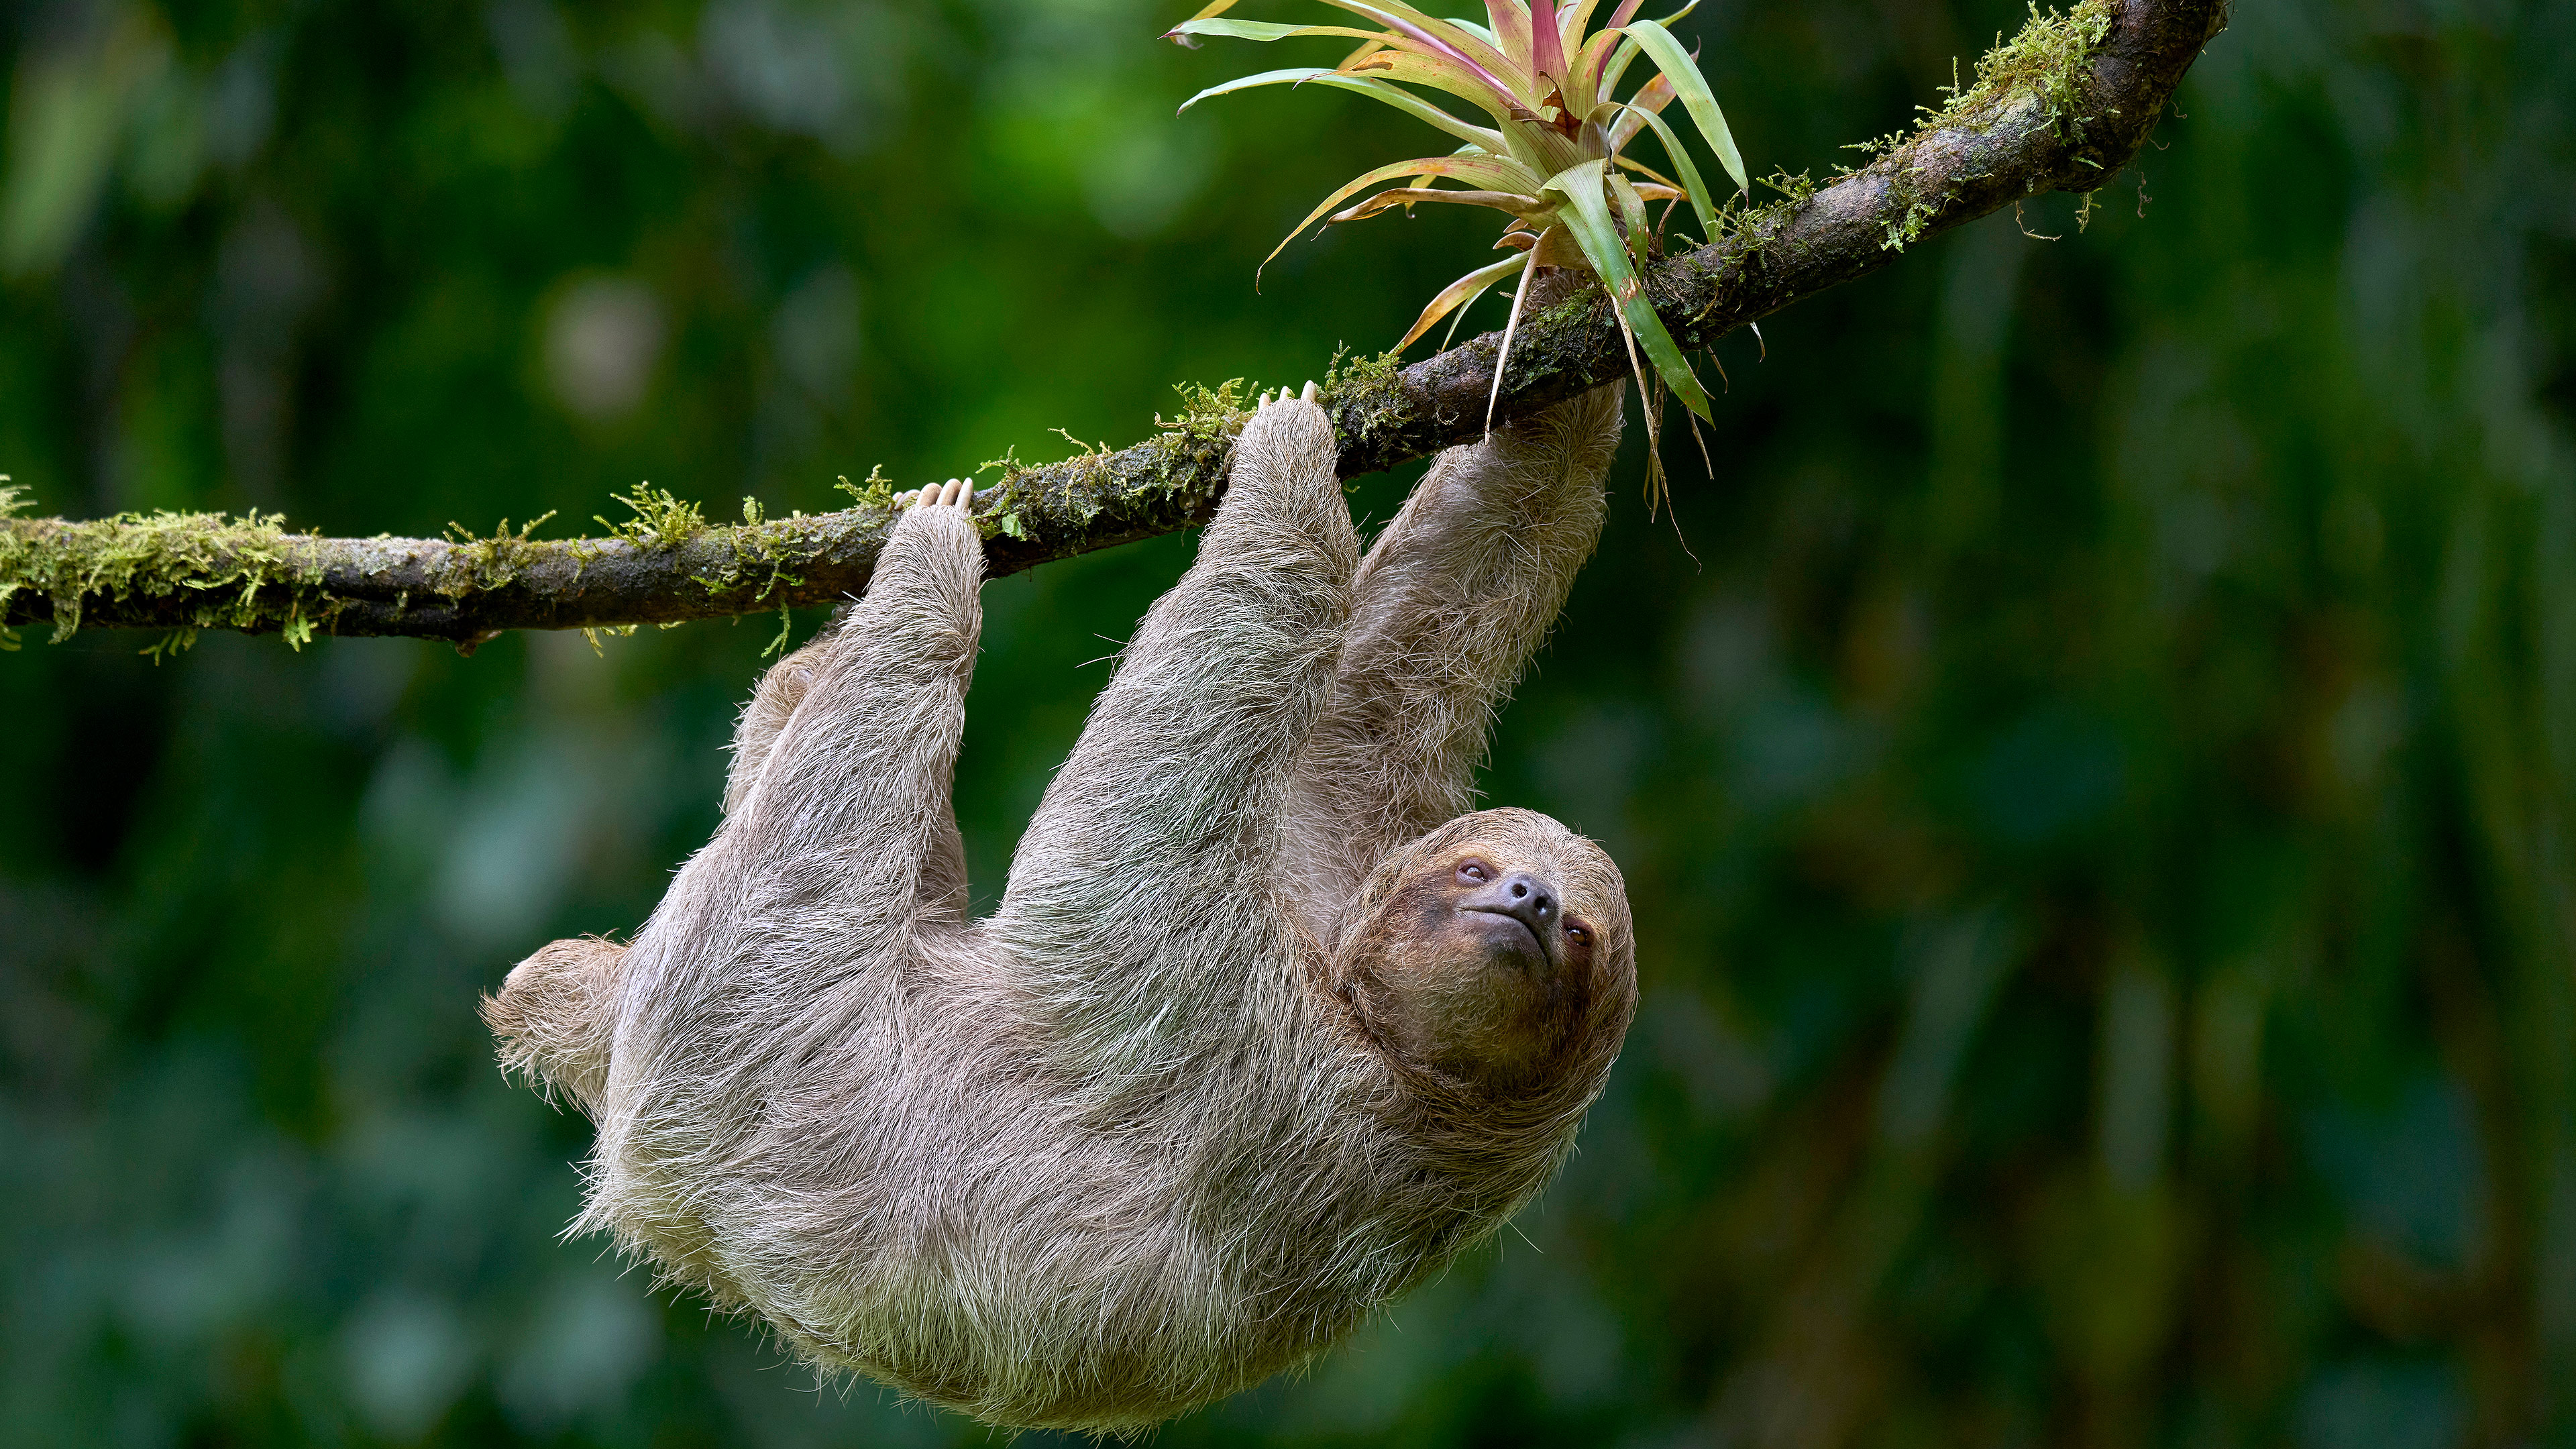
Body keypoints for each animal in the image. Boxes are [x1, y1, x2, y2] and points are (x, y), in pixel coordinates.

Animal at [483, 379, 1637, 1433]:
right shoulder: (1330, 885)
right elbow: (1401, 661)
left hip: (733, 1033)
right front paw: (1564, 322)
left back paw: (924, 580)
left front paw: (1289, 477)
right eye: (1476, 870)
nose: (1533, 900)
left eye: (1580, 936)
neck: (1378, 1034)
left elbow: (1121, 834)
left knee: (830, 809)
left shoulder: (1266, 1064)